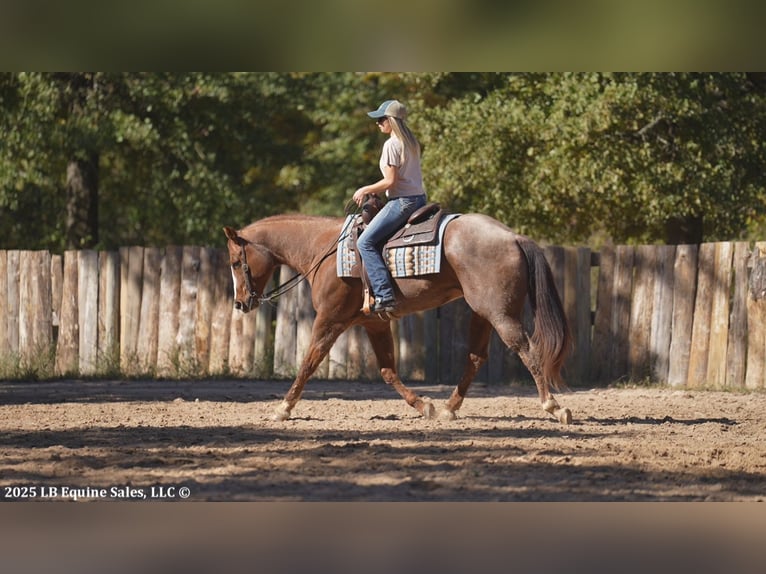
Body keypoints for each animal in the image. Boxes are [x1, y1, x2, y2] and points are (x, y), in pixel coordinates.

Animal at [223, 212, 573, 424]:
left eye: (236, 262)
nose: (240, 303)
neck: (322, 250)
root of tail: (513, 237)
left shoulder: (329, 320)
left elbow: (309, 362)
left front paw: (282, 408)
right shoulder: (374, 323)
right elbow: (387, 370)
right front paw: (424, 405)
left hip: (500, 314)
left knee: (527, 350)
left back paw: (554, 407)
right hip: (484, 313)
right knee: (475, 357)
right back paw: (448, 408)